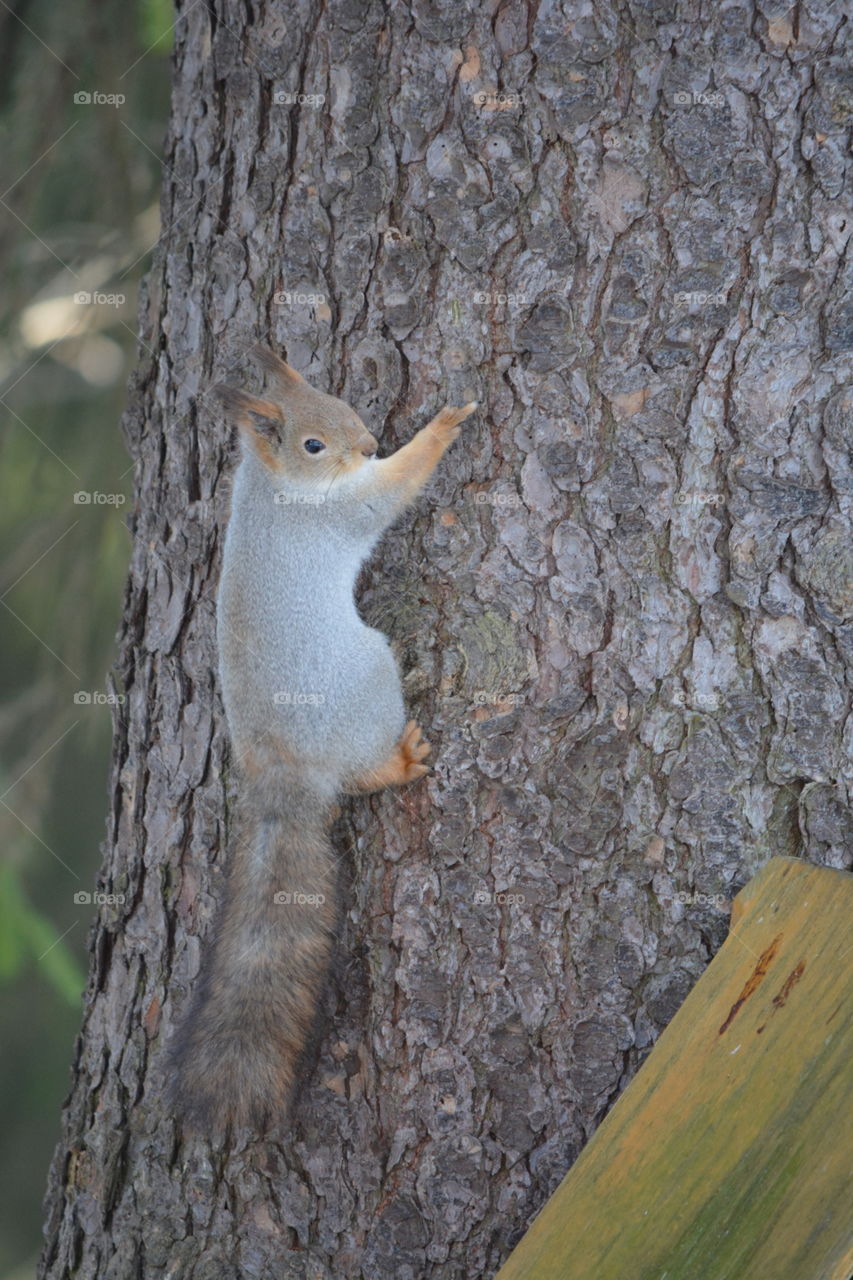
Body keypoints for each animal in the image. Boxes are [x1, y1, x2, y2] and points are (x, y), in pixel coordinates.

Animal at [168, 344, 477, 1130]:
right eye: (312, 444)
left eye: (342, 401)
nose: (367, 443)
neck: (273, 484)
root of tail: (281, 769)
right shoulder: (341, 510)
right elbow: (393, 488)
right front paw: (441, 426)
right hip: (367, 673)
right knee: (361, 772)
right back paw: (400, 760)